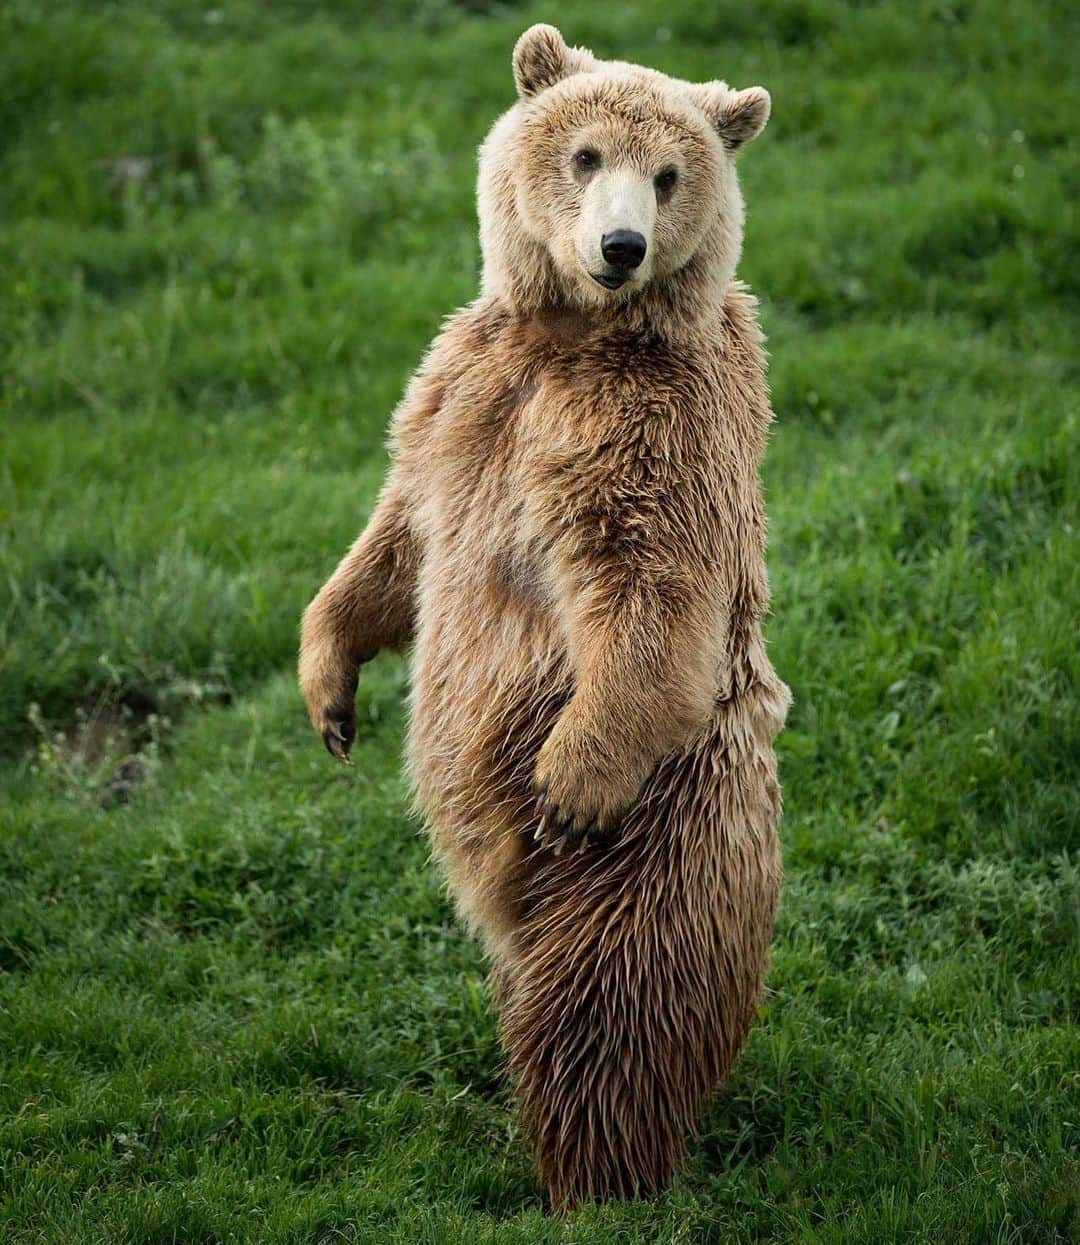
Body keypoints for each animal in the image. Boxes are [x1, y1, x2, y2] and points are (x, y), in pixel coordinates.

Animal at [299, 24, 790, 1211]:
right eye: (585, 152)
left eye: (670, 174)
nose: (619, 245)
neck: (575, 335)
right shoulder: (461, 393)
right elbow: (397, 539)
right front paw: (329, 689)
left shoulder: (653, 435)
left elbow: (650, 590)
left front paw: (572, 779)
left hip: (658, 844)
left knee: (607, 1011)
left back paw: (596, 1179)